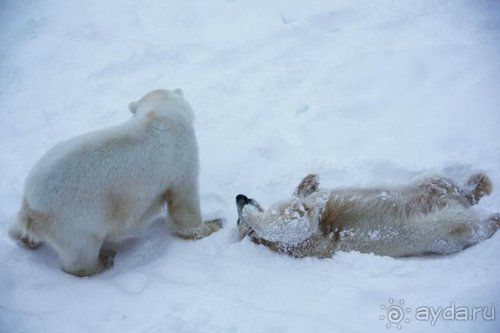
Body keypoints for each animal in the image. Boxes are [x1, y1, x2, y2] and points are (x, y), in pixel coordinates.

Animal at [8, 87, 221, 274]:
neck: (160, 114)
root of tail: (31, 206)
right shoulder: (180, 160)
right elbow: (185, 202)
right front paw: (212, 226)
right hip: (77, 216)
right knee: (82, 251)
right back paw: (103, 261)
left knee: (19, 230)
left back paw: (23, 239)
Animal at [236, 172, 498, 255]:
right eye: (236, 219)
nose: (239, 197)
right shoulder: (300, 237)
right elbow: (292, 224)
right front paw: (249, 214)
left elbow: (299, 204)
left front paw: (309, 181)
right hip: (444, 228)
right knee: (470, 221)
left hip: (426, 188)